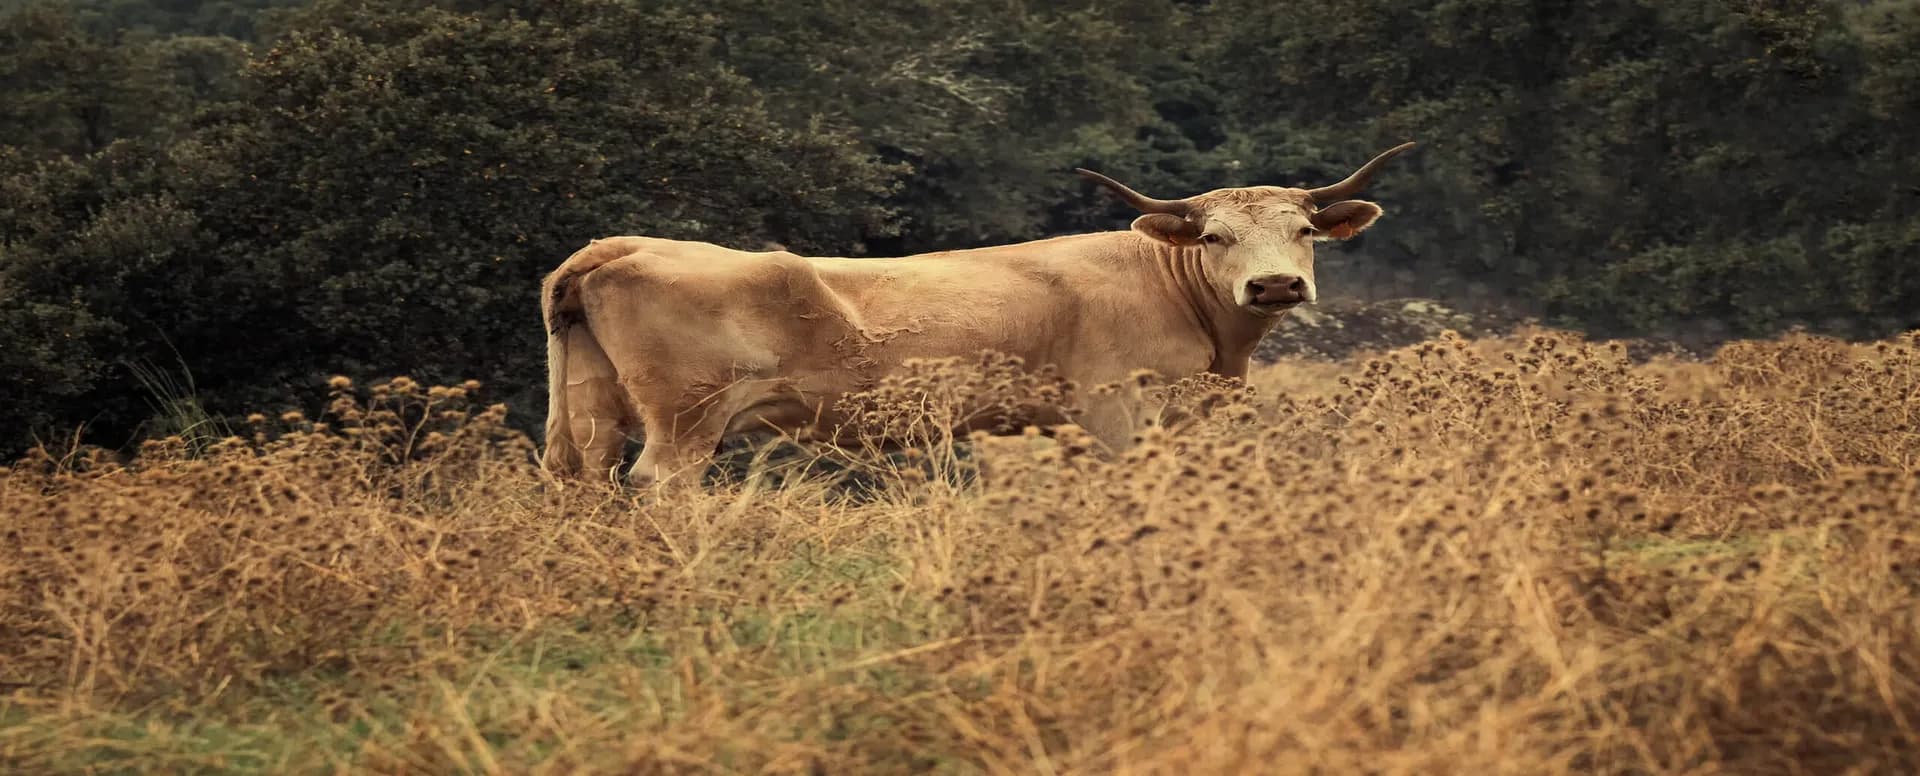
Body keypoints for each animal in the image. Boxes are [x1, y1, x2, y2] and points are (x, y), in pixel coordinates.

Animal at [539, 142, 1418, 487]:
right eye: (1213, 236)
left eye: (1304, 231)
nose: (1273, 287)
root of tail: (620, 243)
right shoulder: (1119, 417)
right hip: (685, 422)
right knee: (659, 483)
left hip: (587, 410)